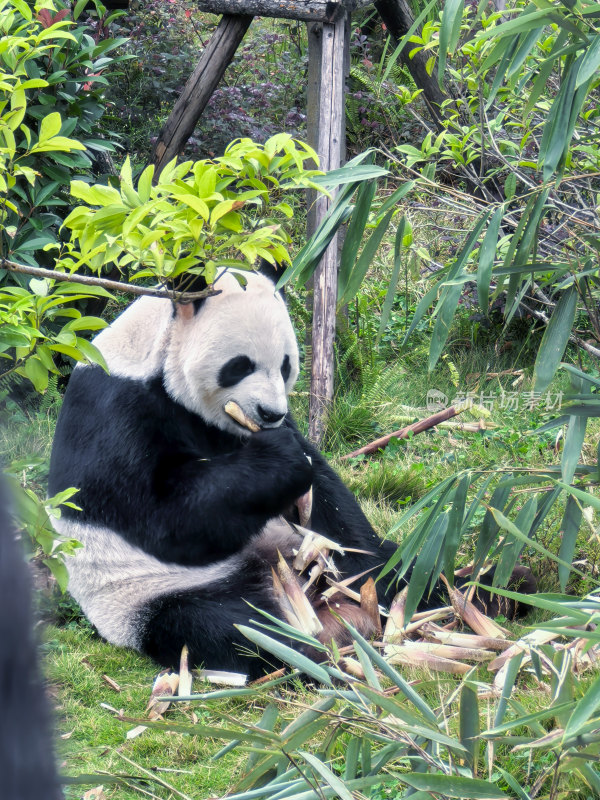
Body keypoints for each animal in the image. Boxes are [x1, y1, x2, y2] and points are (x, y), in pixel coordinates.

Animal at [48, 268, 404, 676]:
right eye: (240, 365)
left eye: (286, 365)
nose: (269, 413)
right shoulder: (116, 411)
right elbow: (164, 519)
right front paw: (281, 457)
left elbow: (328, 500)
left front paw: (363, 562)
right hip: (149, 594)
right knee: (224, 626)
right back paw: (310, 650)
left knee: (405, 564)